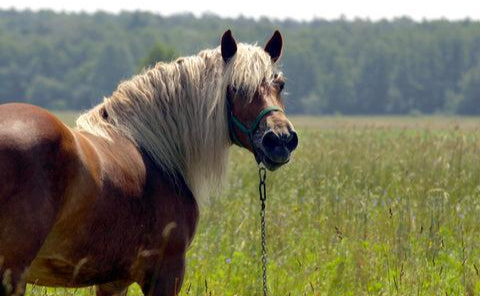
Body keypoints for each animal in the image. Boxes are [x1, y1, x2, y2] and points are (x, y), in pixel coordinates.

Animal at [0, 30, 298, 296]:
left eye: (280, 84)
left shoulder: (113, 282)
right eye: (235, 88)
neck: (155, 153)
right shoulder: (166, 275)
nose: (280, 139)